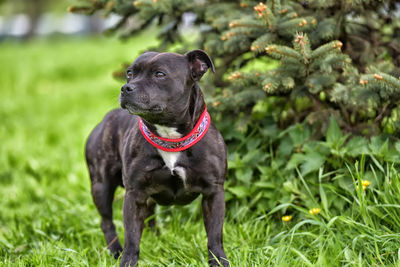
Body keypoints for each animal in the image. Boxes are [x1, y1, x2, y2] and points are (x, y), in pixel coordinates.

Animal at [85, 49, 228, 266]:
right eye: (129, 73)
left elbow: (214, 235)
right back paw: (115, 250)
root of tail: (105, 119)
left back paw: (157, 237)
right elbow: (132, 238)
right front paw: (127, 261)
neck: (170, 137)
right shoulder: (134, 194)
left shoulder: (214, 193)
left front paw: (219, 261)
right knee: (106, 221)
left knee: (149, 214)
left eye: (160, 74)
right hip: (101, 186)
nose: (126, 88)